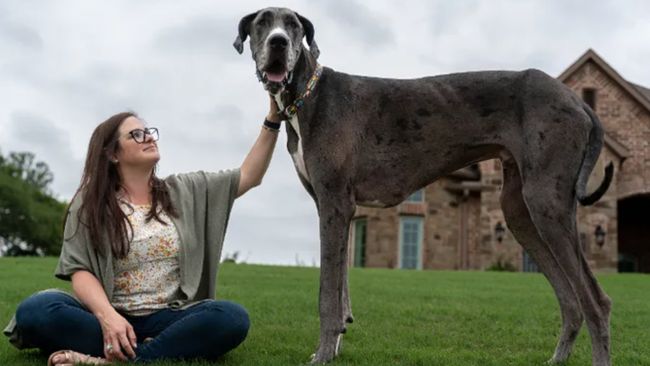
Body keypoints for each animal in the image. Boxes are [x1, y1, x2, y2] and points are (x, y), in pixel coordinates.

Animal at [234, 6, 612, 366]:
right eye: (262, 23)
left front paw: (323, 354)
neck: (307, 96)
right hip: (520, 211)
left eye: (294, 25)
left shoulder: (334, 204)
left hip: (546, 203)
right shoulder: (337, 210)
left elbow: (328, 293)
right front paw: (336, 345)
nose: (279, 42)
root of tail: (578, 101)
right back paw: (558, 357)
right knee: (570, 299)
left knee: (596, 300)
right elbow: (341, 289)